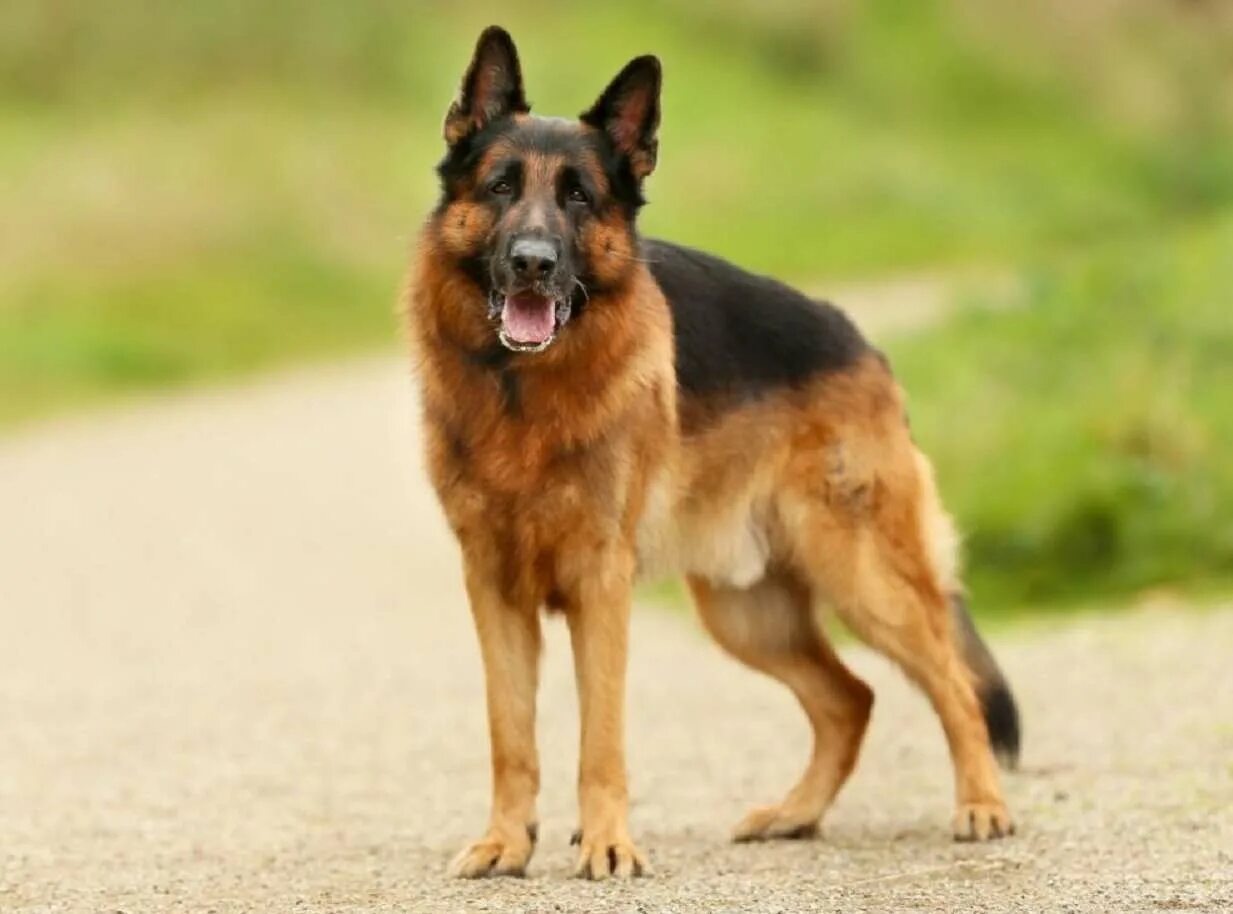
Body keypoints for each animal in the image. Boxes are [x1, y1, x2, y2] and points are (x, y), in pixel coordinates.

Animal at [406, 26, 1020, 878]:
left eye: (578, 197)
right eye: (500, 187)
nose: (532, 261)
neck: (520, 391)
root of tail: (859, 340)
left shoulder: (600, 589)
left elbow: (600, 740)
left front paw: (607, 843)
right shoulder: (493, 589)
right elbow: (511, 736)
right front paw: (506, 841)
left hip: (863, 579)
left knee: (953, 685)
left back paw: (981, 804)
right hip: (746, 612)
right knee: (850, 699)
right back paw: (796, 814)